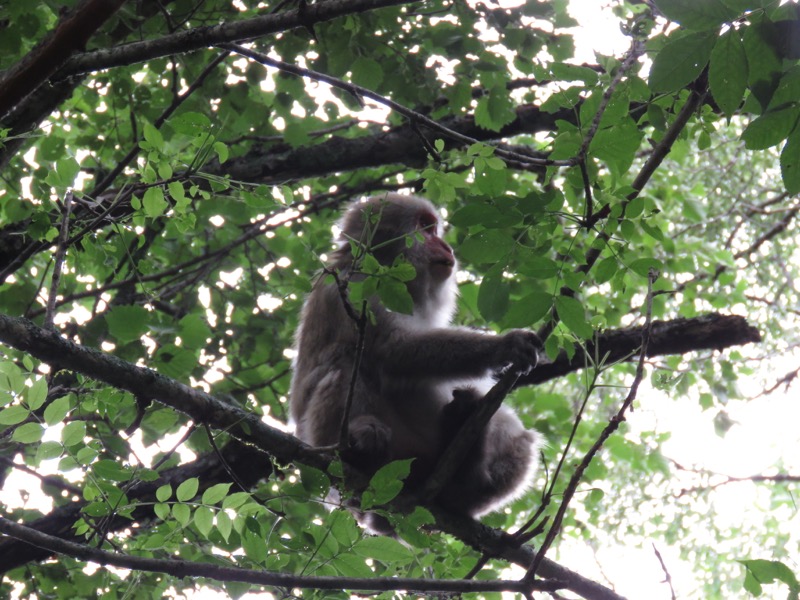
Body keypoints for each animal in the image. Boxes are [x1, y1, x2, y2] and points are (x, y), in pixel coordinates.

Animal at [290, 195, 540, 524]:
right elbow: (394, 350)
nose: (446, 246)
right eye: (425, 227)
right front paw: (504, 346)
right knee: (346, 364)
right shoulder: (355, 284)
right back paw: (359, 448)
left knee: (518, 435)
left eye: (435, 228)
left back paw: (464, 479)